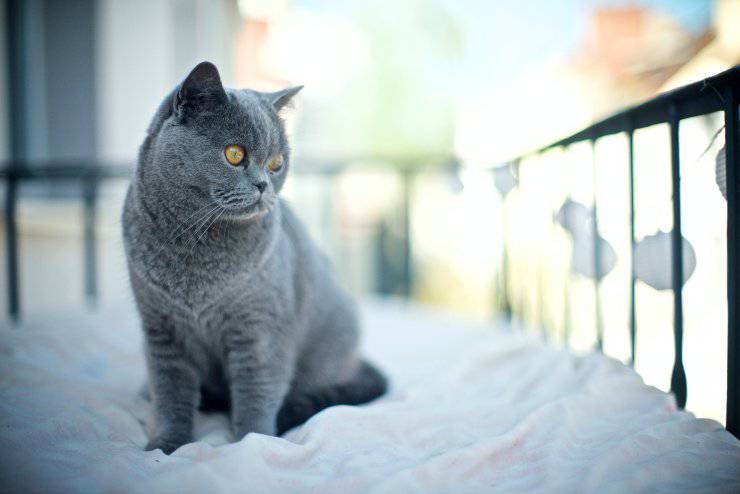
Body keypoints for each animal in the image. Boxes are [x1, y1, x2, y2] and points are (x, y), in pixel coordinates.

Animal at [123, 59, 388, 454]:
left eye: (277, 163)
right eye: (235, 154)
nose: (264, 184)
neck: (197, 248)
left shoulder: (260, 329)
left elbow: (256, 392)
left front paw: (252, 442)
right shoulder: (161, 331)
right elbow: (171, 395)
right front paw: (166, 445)